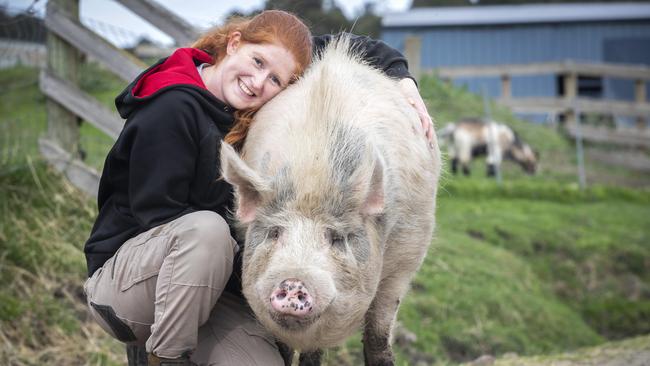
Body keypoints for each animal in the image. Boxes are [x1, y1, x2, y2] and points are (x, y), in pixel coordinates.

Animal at [219, 38, 440, 366]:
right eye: (274, 232)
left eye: (336, 238)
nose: (293, 282)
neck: (314, 174)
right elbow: (285, 349)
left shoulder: (407, 256)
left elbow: (378, 333)